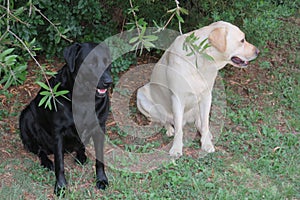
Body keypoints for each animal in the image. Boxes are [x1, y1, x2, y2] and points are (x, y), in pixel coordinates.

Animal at [19, 42, 112, 195]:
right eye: (91, 63)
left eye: (107, 62)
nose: (109, 82)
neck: (83, 98)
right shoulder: (58, 132)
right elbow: (60, 163)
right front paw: (61, 186)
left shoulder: (100, 127)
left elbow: (100, 160)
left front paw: (102, 179)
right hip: (26, 117)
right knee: (40, 150)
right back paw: (46, 161)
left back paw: (81, 156)